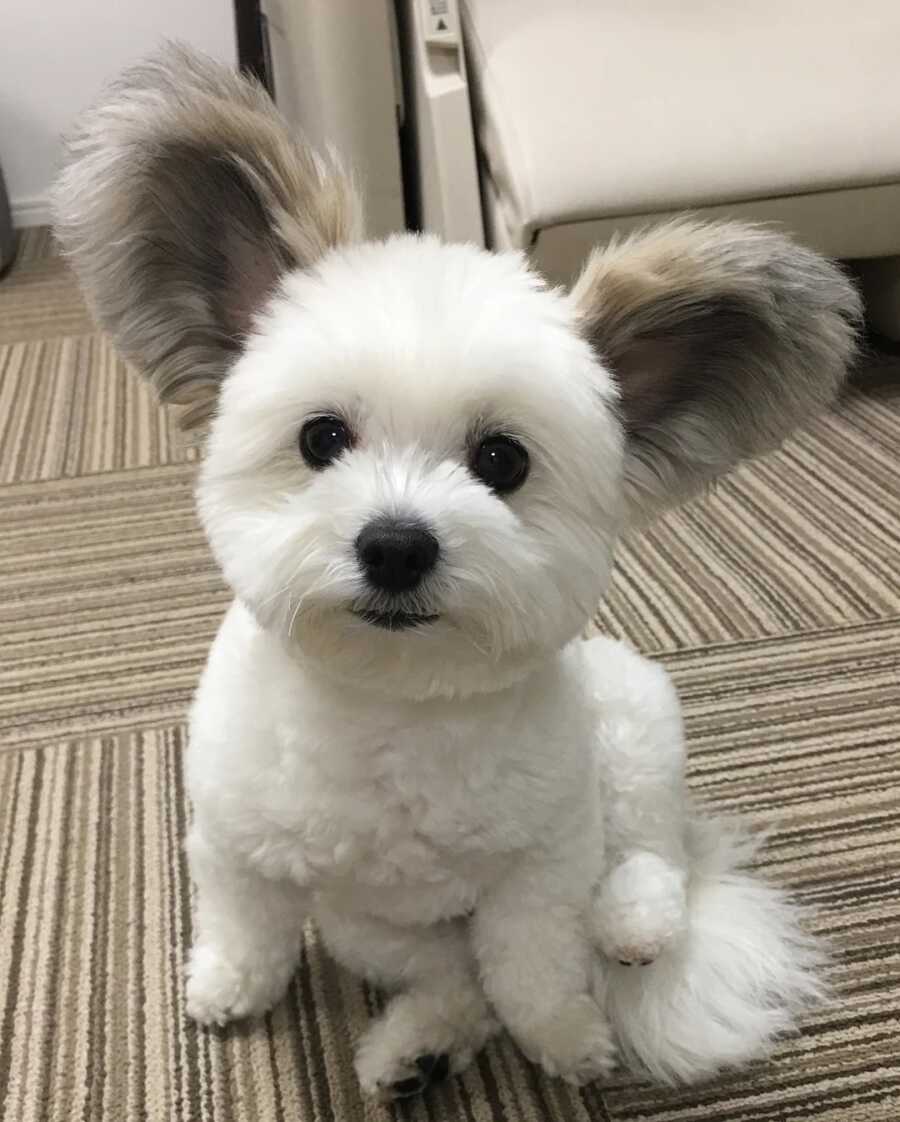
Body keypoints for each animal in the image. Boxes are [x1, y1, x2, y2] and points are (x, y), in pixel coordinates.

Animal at [52, 46, 857, 1104]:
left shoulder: (540, 869)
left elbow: (535, 968)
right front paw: (229, 987)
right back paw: (419, 1047)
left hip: (634, 728)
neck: (393, 711)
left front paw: (565, 1037)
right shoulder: (237, 842)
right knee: (448, 976)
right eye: (322, 438)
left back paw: (631, 927)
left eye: (502, 461)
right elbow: (248, 925)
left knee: (655, 856)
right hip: (370, 924)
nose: (397, 545)